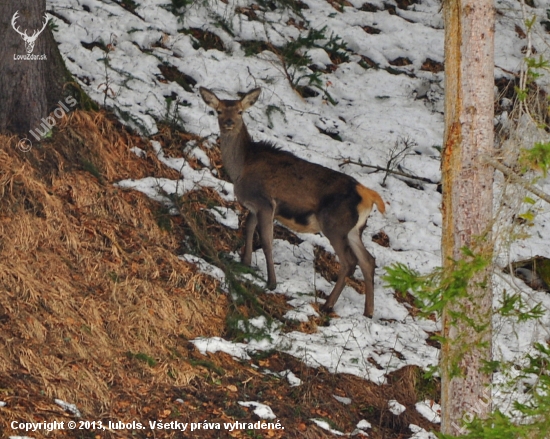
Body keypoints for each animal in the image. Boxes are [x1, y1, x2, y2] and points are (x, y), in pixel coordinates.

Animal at [201, 87, 386, 320]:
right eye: (218, 110)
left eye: (240, 112)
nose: (228, 122)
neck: (241, 168)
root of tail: (368, 195)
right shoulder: (253, 206)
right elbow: (248, 229)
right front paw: (245, 263)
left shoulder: (265, 203)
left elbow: (267, 241)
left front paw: (271, 282)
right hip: (354, 230)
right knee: (368, 260)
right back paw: (368, 312)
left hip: (333, 225)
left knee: (349, 262)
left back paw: (327, 305)